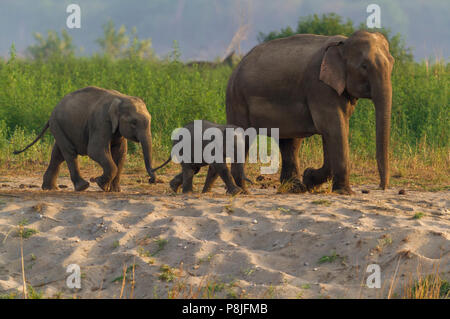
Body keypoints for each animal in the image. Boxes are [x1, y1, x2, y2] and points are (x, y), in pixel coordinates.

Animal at [13, 86, 156, 192]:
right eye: (134, 123)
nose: (151, 180)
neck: (121, 98)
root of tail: (52, 112)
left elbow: (120, 154)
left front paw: (114, 190)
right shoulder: (101, 122)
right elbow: (95, 151)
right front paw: (100, 184)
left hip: (60, 126)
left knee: (58, 155)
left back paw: (50, 188)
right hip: (58, 125)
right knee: (69, 153)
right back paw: (83, 187)